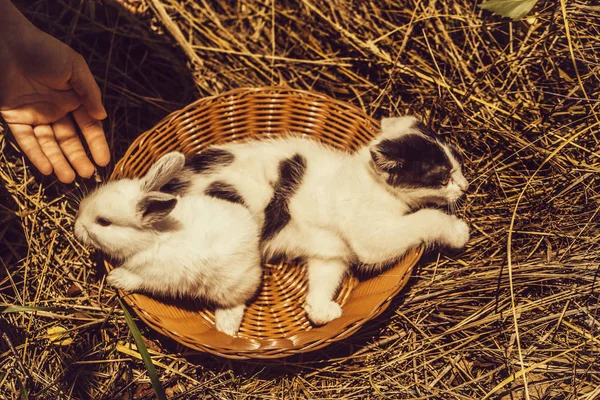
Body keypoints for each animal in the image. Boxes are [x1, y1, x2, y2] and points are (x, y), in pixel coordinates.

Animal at [74, 152, 262, 336]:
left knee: (237, 303)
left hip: (230, 286)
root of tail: (255, 242)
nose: (76, 226)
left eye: (104, 222)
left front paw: (115, 277)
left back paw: (226, 327)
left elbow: (137, 279)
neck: (153, 239)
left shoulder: (159, 276)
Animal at [166, 115, 472, 324]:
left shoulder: (330, 252)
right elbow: (423, 218)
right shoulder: (371, 239)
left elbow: (325, 275)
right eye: (442, 177)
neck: (372, 184)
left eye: (458, 165)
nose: (465, 186)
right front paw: (456, 231)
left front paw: (319, 308)